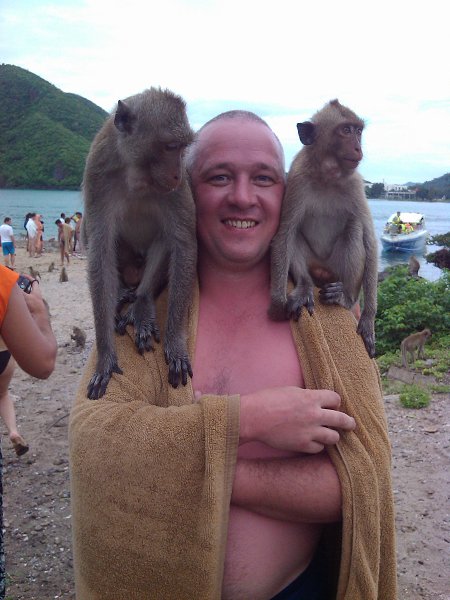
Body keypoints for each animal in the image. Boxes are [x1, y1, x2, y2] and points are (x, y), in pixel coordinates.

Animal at [82, 87, 197, 400]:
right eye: (170, 146)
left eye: (182, 148)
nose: (177, 172)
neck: (137, 174)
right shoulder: (97, 174)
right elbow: (100, 250)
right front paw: (105, 356)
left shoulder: (177, 189)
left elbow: (183, 244)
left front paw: (175, 343)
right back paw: (123, 293)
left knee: (166, 239)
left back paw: (141, 303)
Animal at [269, 99, 378, 358]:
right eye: (346, 131)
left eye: (358, 131)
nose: (358, 148)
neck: (328, 175)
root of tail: (322, 272)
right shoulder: (297, 180)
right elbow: (285, 233)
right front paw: (278, 304)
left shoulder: (355, 185)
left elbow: (369, 241)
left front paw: (368, 320)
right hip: (314, 265)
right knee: (295, 237)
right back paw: (305, 286)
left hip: (336, 270)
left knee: (355, 229)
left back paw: (345, 298)